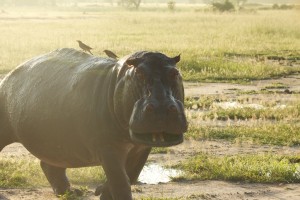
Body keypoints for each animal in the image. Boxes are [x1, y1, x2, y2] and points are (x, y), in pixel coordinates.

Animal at [0, 48, 188, 198]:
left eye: (175, 73)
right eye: (139, 73)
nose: (161, 108)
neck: (120, 79)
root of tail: (8, 76)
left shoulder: (142, 148)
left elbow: (131, 176)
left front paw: (102, 192)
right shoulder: (108, 148)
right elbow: (120, 180)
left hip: (55, 143)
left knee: (50, 164)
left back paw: (72, 193)